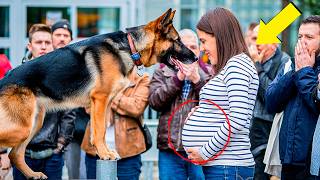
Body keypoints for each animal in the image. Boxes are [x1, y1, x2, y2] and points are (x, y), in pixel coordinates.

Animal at [0, 8, 196, 179]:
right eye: (178, 40)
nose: (195, 57)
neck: (130, 47)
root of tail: (4, 79)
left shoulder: (104, 103)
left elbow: (99, 132)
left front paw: (104, 152)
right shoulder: (100, 99)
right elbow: (100, 129)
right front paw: (104, 153)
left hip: (35, 123)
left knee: (15, 154)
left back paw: (32, 174)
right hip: (22, 128)